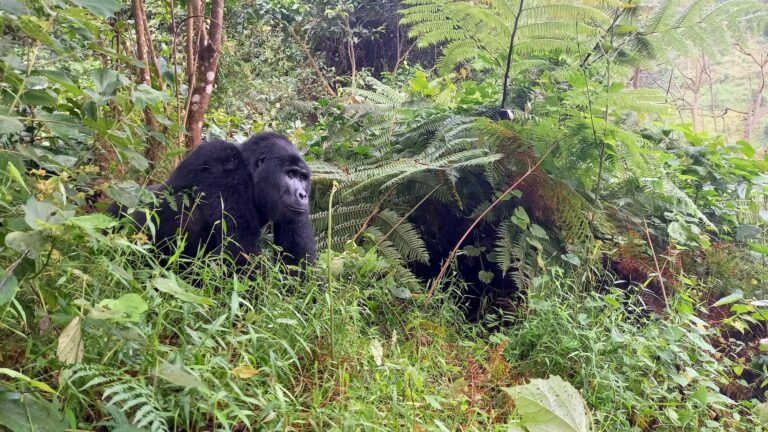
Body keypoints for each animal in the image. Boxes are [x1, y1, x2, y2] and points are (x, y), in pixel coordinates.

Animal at [107, 133, 316, 270]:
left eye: (302, 178)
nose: (303, 195)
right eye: (290, 174)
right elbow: (239, 253)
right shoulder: (223, 163)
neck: (250, 174)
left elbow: (297, 263)